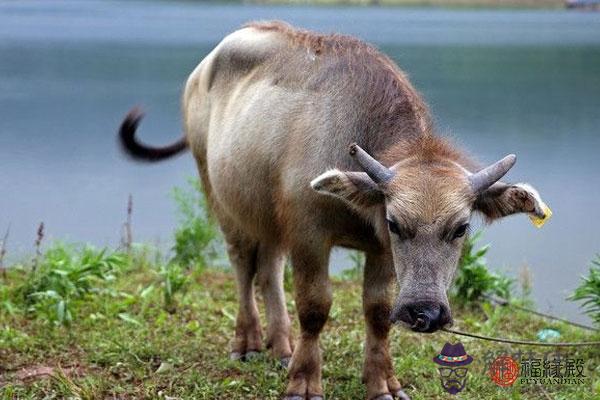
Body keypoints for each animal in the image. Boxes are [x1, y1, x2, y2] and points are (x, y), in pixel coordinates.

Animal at [118, 21, 548, 400]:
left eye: (460, 228)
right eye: (396, 223)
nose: (424, 312)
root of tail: (203, 68)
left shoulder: (377, 250)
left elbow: (377, 312)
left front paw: (383, 383)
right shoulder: (310, 234)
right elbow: (315, 306)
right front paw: (304, 383)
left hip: (272, 216)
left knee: (269, 270)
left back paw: (282, 346)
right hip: (219, 193)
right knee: (242, 264)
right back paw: (248, 342)